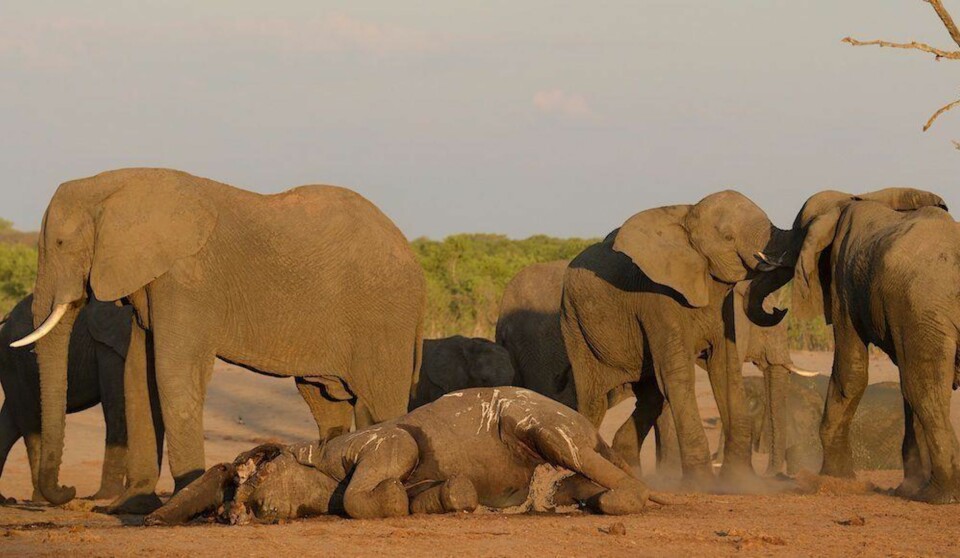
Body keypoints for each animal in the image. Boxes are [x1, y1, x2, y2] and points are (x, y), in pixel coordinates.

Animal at [0, 295, 159, 502]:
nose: (69, 488)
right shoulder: (109, 344)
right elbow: (117, 404)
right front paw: (107, 496)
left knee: (10, 424)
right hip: (14, 364)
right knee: (29, 422)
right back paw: (39, 499)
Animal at [144, 387, 658, 525]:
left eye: (254, 480)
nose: (235, 516)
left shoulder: (373, 443)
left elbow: (363, 490)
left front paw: (385, 498)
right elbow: (450, 491)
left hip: (542, 424)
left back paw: (617, 501)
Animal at [788, 187, 957, 502]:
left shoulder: (842, 279)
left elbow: (851, 371)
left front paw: (834, 479)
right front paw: (905, 487)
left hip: (923, 306)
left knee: (924, 389)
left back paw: (936, 496)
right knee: (920, 387)